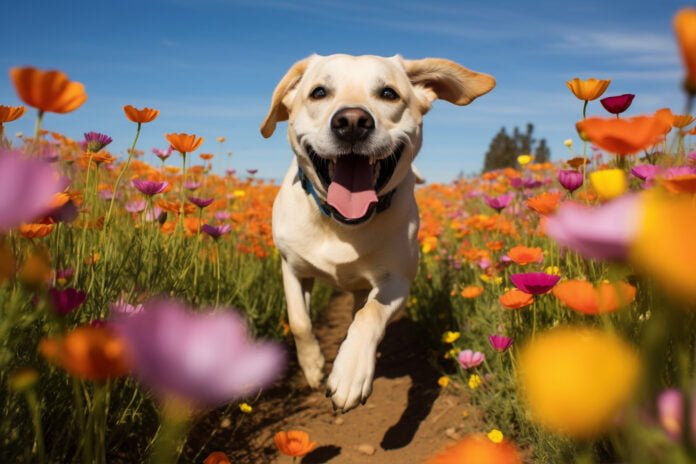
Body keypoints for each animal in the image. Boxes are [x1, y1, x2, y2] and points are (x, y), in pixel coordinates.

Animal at [260, 54, 494, 414]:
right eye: (318, 92)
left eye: (388, 93)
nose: (352, 122)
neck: (342, 225)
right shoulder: (292, 267)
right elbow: (299, 320)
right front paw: (313, 367)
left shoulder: (397, 281)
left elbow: (370, 313)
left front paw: (350, 372)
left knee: (360, 308)